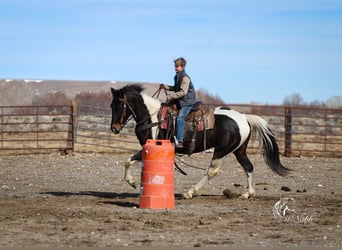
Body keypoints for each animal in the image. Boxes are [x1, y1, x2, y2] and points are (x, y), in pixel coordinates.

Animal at [109, 85, 288, 198]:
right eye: (111, 105)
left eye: (119, 105)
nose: (114, 128)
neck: (153, 117)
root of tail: (244, 117)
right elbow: (129, 161)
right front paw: (133, 183)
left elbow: (128, 161)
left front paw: (132, 182)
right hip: (239, 150)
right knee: (248, 167)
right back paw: (248, 193)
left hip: (221, 150)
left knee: (212, 171)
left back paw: (190, 192)